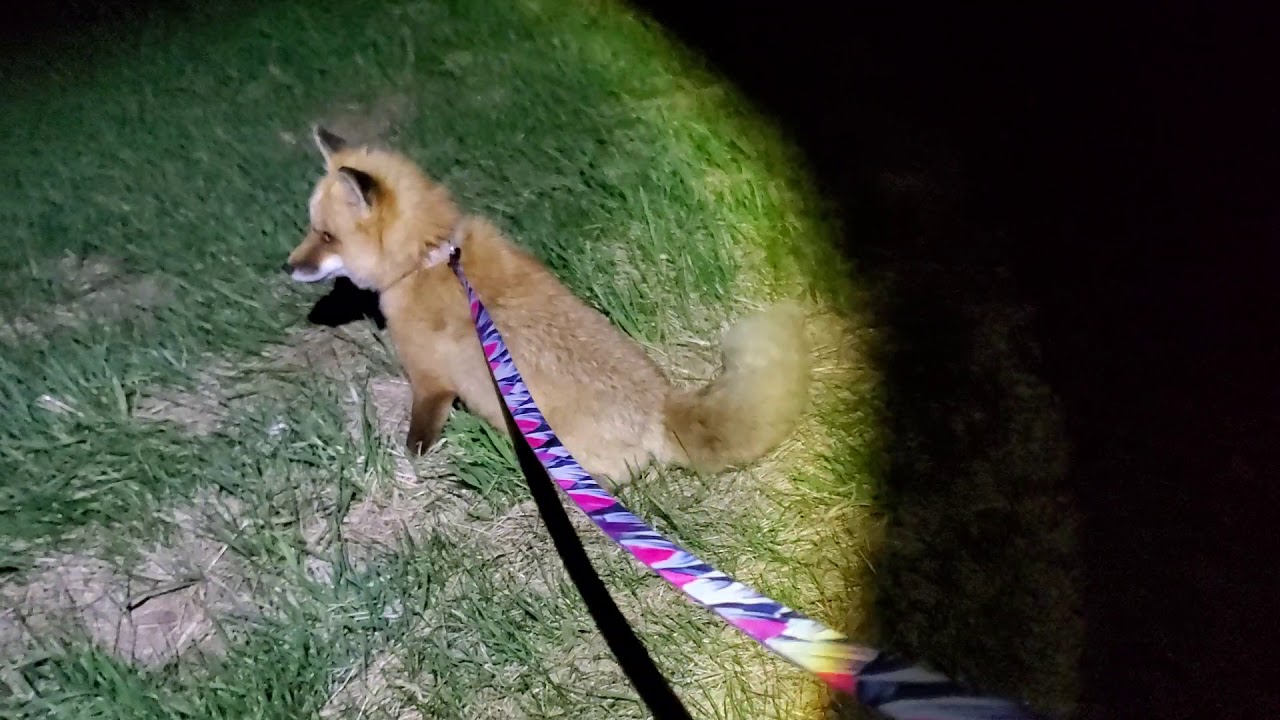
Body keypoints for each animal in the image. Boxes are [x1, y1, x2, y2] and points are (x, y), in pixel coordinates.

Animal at [285, 126, 811, 486]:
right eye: (312, 229)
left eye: (326, 236)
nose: (286, 266)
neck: (426, 256)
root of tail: (659, 407)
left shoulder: (430, 379)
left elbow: (420, 430)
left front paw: (410, 460)